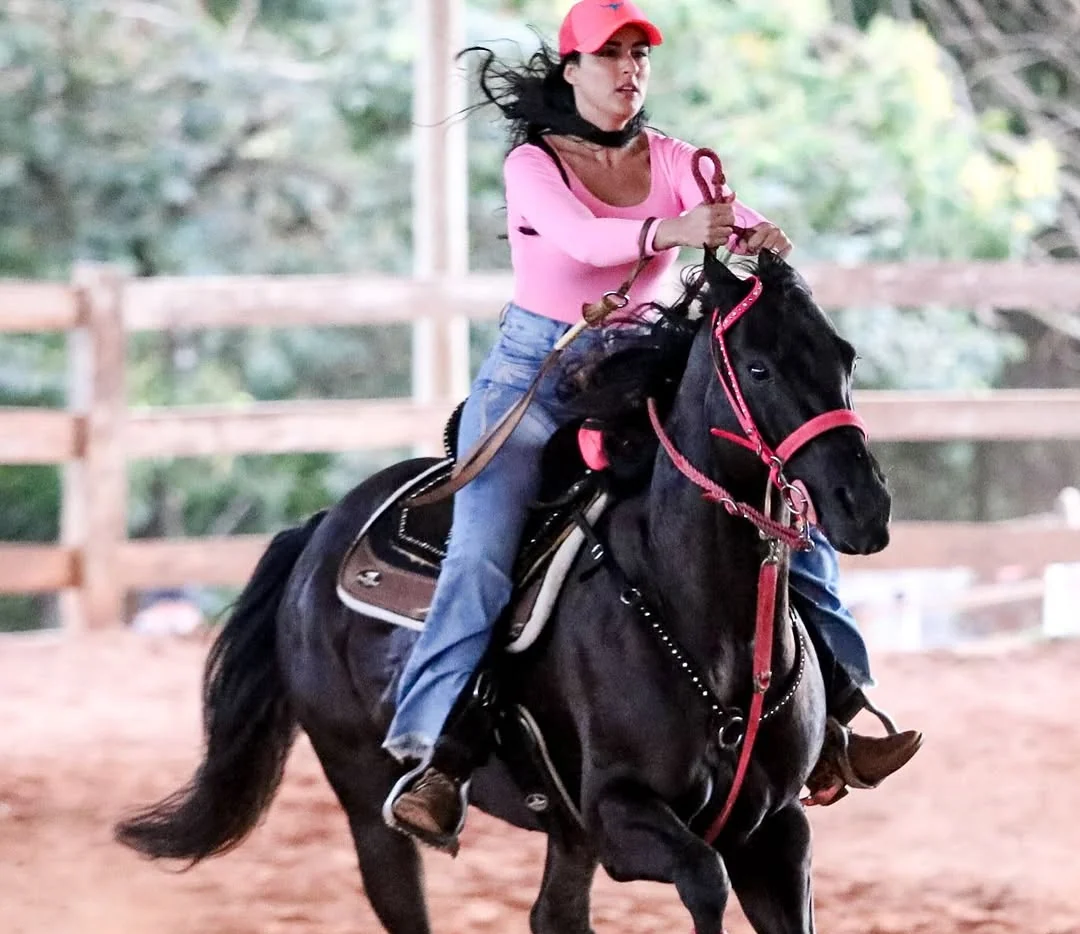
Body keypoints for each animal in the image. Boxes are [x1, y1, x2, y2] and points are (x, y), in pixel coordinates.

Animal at [115, 247, 891, 934]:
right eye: (758, 367)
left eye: (845, 357)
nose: (864, 506)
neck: (702, 626)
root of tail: (319, 533)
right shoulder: (619, 814)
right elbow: (705, 880)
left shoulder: (776, 829)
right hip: (366, 799)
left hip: (562, 831)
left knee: (554, 916)